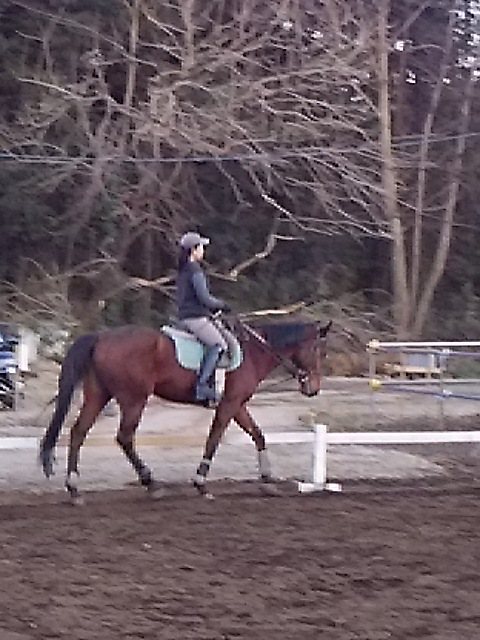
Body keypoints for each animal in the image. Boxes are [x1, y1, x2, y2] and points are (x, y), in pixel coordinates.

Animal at [39, 318, 331, 503]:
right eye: (319, 350)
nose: (314, 388)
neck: (254, 351)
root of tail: (102, 336)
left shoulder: (237, 404)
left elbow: (257, 435)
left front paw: (268, 480)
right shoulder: (229, 404)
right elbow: (214, 438)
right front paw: (201, 484)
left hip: (99, 395)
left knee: (78, 432)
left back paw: (75, 489)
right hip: (134, 399)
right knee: (124, 437)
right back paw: (152, 484)